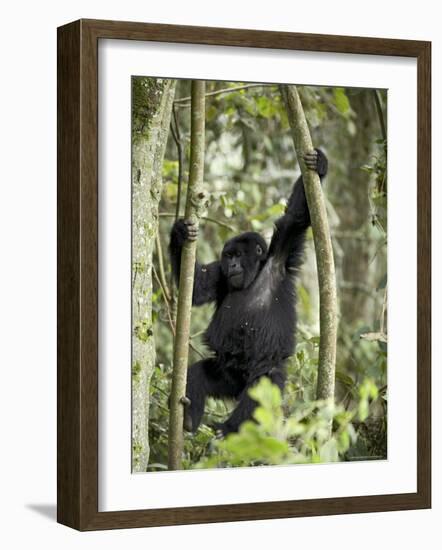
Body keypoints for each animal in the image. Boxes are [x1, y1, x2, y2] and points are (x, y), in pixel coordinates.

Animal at [169, 149, 328, 438]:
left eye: (238, 255)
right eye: (228, 255)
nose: (232, 264)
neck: (255, 273)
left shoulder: (282, 254)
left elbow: (297, 218)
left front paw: (319, 164)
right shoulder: (221, 276)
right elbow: (198, 287)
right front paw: (180, 234)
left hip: (263, 374)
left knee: (257, 394)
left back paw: (229, 429)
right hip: (226, 375)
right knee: (199, 373)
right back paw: (188, 419)